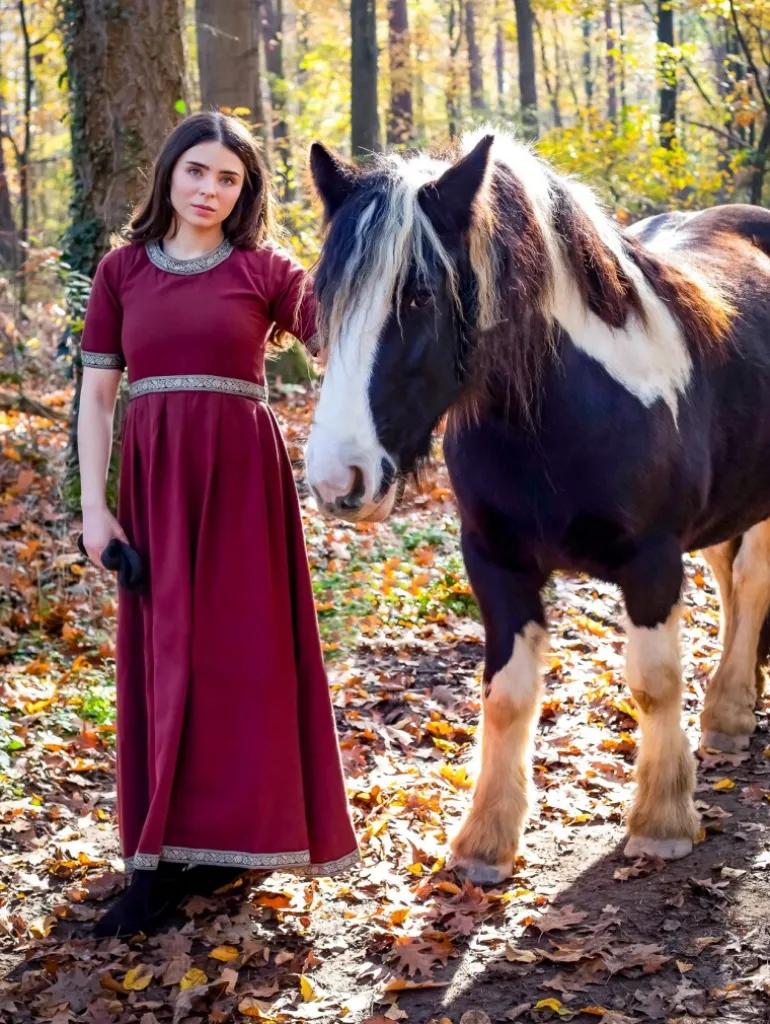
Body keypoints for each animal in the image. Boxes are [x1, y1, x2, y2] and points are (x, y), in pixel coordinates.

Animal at [303, 125, 770, 880]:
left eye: (418, 296)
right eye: (323, 294)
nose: (336, 480)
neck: (563, 410)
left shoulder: (652, 563)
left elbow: (653, 682)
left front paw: (662, 821)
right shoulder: (496, 562)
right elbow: (505, 694)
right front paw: (485, 841)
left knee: (751, 584)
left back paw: (727, 714)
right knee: (732, 585)